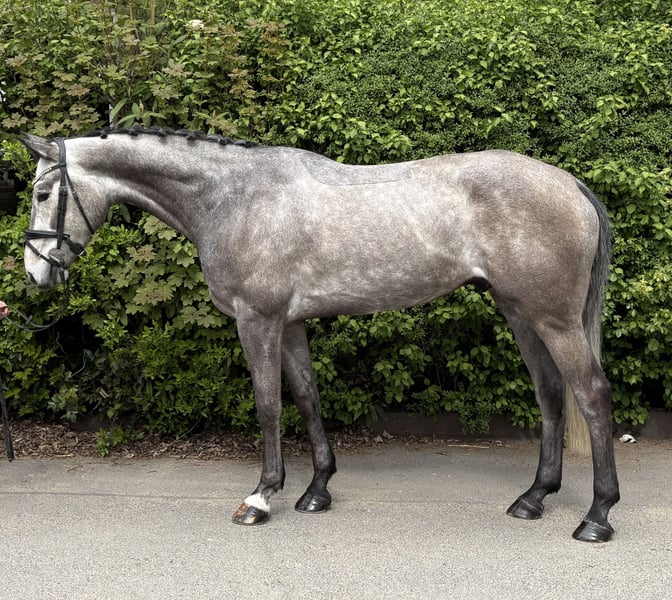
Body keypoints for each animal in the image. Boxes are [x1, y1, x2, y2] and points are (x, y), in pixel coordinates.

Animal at [20, 127, 619, 542]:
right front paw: (316, 490)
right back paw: (534, 497)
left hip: (554, 319)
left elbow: (268, 405)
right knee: (550, 394)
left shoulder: (257, 320)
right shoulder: (290, 324)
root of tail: (568, 183)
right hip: (520, 312)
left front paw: (261, 498)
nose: (34, 273)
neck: (233, 196)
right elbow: (307, 399)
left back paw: (596, 516)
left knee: (590, 394)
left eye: (45, 193)